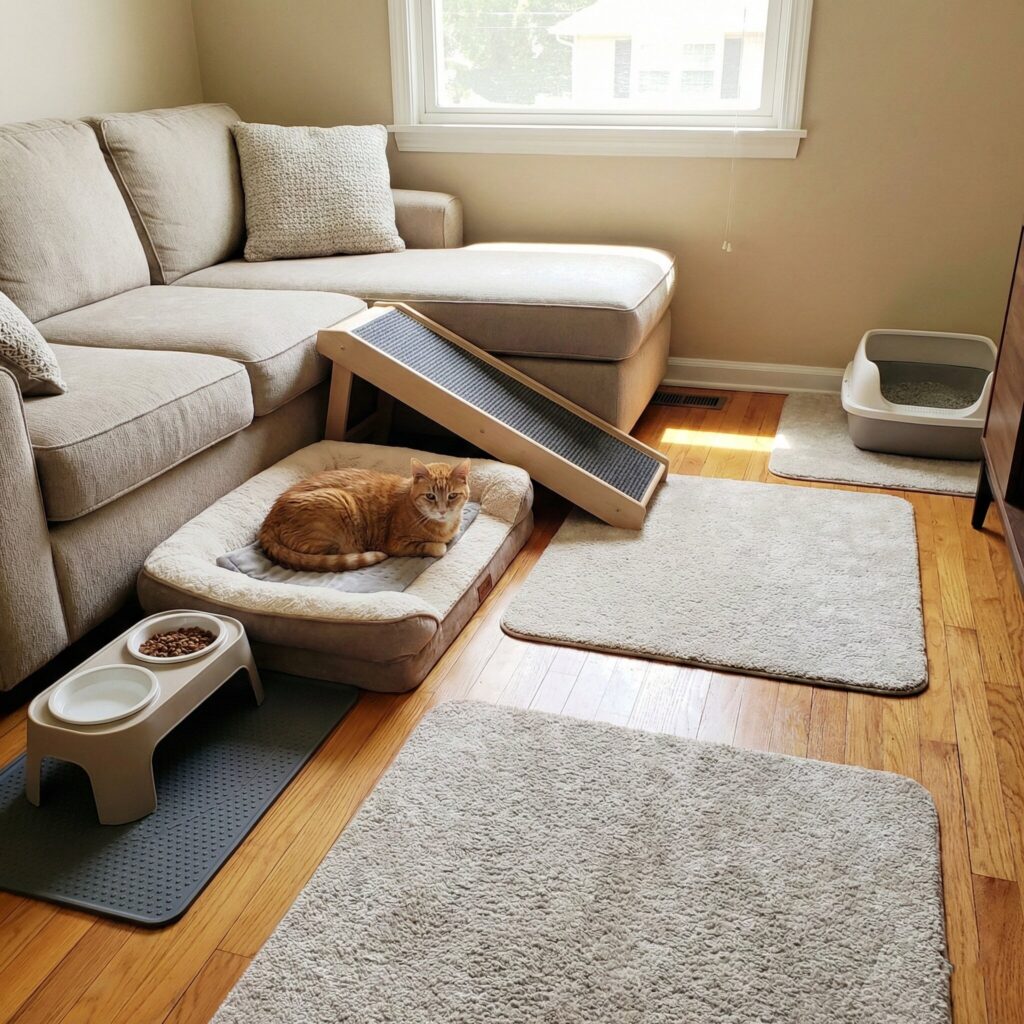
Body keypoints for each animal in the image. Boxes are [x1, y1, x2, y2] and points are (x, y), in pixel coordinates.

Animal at [258, 458, 471, 572]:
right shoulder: (396, 545)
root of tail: (270, 518)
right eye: (430, 496)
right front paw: (439, 545)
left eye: (452, 496)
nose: (442, 510)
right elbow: (437, 547)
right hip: (339, 503)